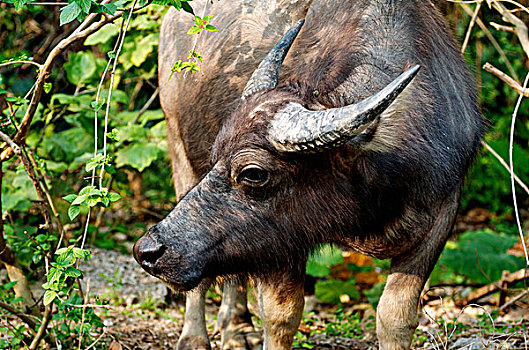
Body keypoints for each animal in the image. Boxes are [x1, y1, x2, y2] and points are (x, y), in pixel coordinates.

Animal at [134, 1, 484, 348]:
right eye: (215, 156)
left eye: (253, 174)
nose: (147, 250)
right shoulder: (281, 239)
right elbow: (281, 317)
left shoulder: (440, 218)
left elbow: (395, 317)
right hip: (177, 149)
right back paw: (195, 337)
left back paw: (236, 326)